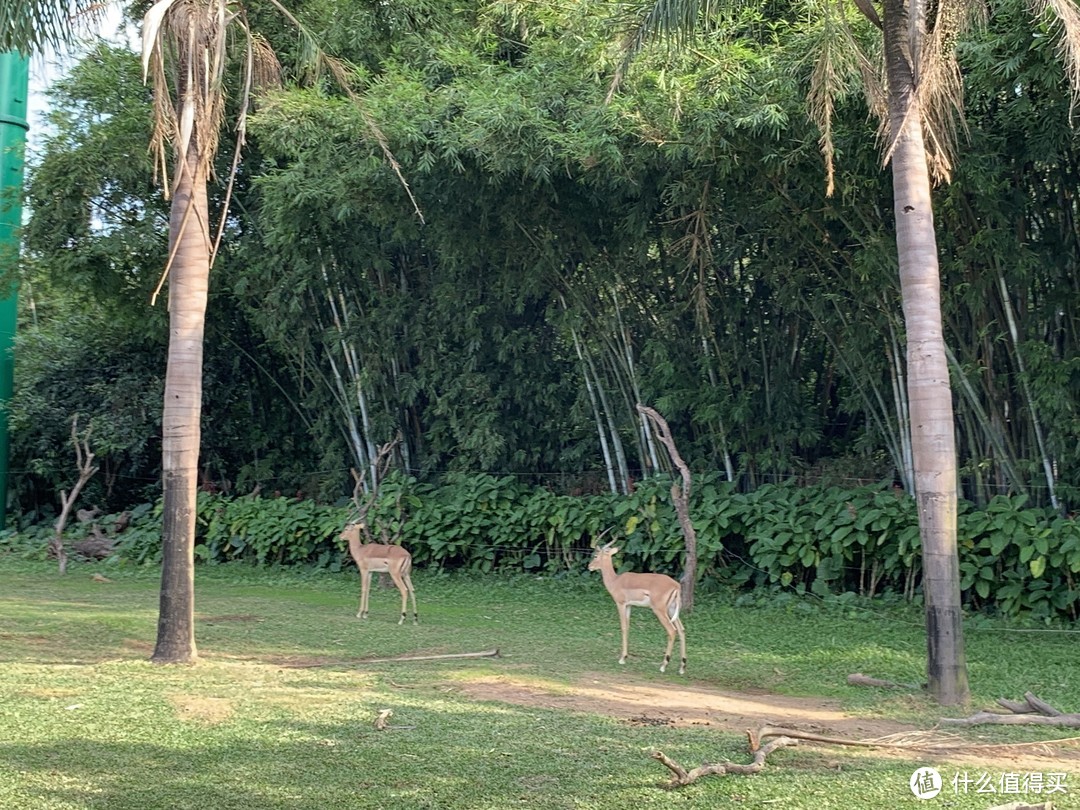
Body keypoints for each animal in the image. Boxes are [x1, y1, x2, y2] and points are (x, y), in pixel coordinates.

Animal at [591, 540, 682, 678]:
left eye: (595, 555)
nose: (589, 566)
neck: (615, 581)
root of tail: (676, 585)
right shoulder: (629, 606)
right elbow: (628, 627)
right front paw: (625, 657)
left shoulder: (621, 604)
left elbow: (623, 627)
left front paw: (622, 658)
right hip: (672, 611)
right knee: (682, 630)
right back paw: (682, 667)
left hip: (660, 611)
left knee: (672, 630)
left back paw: (663, 666)